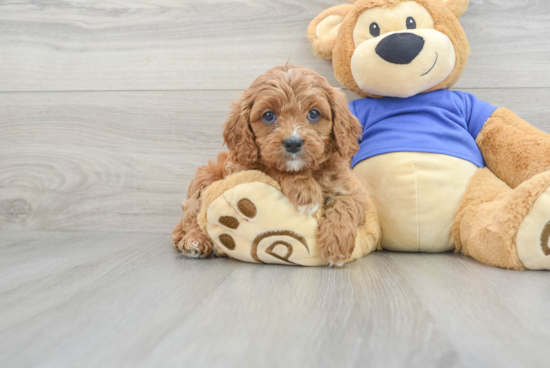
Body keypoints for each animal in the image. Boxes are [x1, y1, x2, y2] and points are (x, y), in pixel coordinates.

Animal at [172, 63, 370, 264]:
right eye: (268, 115)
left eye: (314, 113)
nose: (293, 143)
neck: (307, 169)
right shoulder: (243, 168)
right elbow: (273, 168)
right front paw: (305, 191)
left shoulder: (351, 188)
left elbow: (347, 203)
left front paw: (337, 242)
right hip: (204, 179)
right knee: (191, 221)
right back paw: (195, 242)